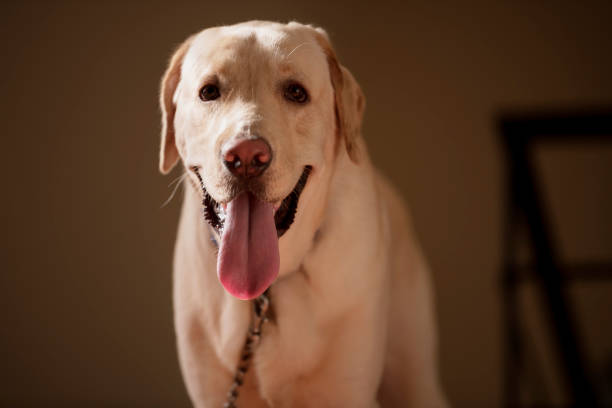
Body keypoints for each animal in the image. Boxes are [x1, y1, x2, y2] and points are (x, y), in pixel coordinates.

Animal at [158, 19, 444, 408]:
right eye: (209, 91)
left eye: (296, 92)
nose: (246, 157)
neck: (265, 293)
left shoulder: (346, 389)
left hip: (413, 374)